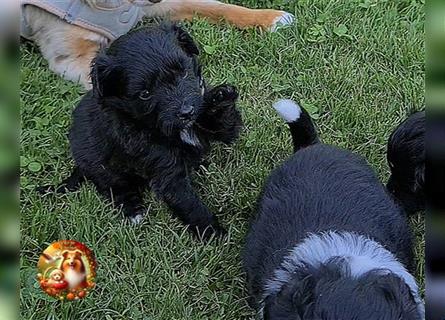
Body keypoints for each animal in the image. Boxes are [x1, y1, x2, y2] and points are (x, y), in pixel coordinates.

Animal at [39, 25, 243, 240]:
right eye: (145, 94)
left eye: (184, 73)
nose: (187, 112)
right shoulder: (167, 172)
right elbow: (189, 203)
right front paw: (213, 232)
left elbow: (226, 127)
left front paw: (220, 97)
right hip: (103, 169)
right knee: (114, 188)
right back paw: (133, 210)